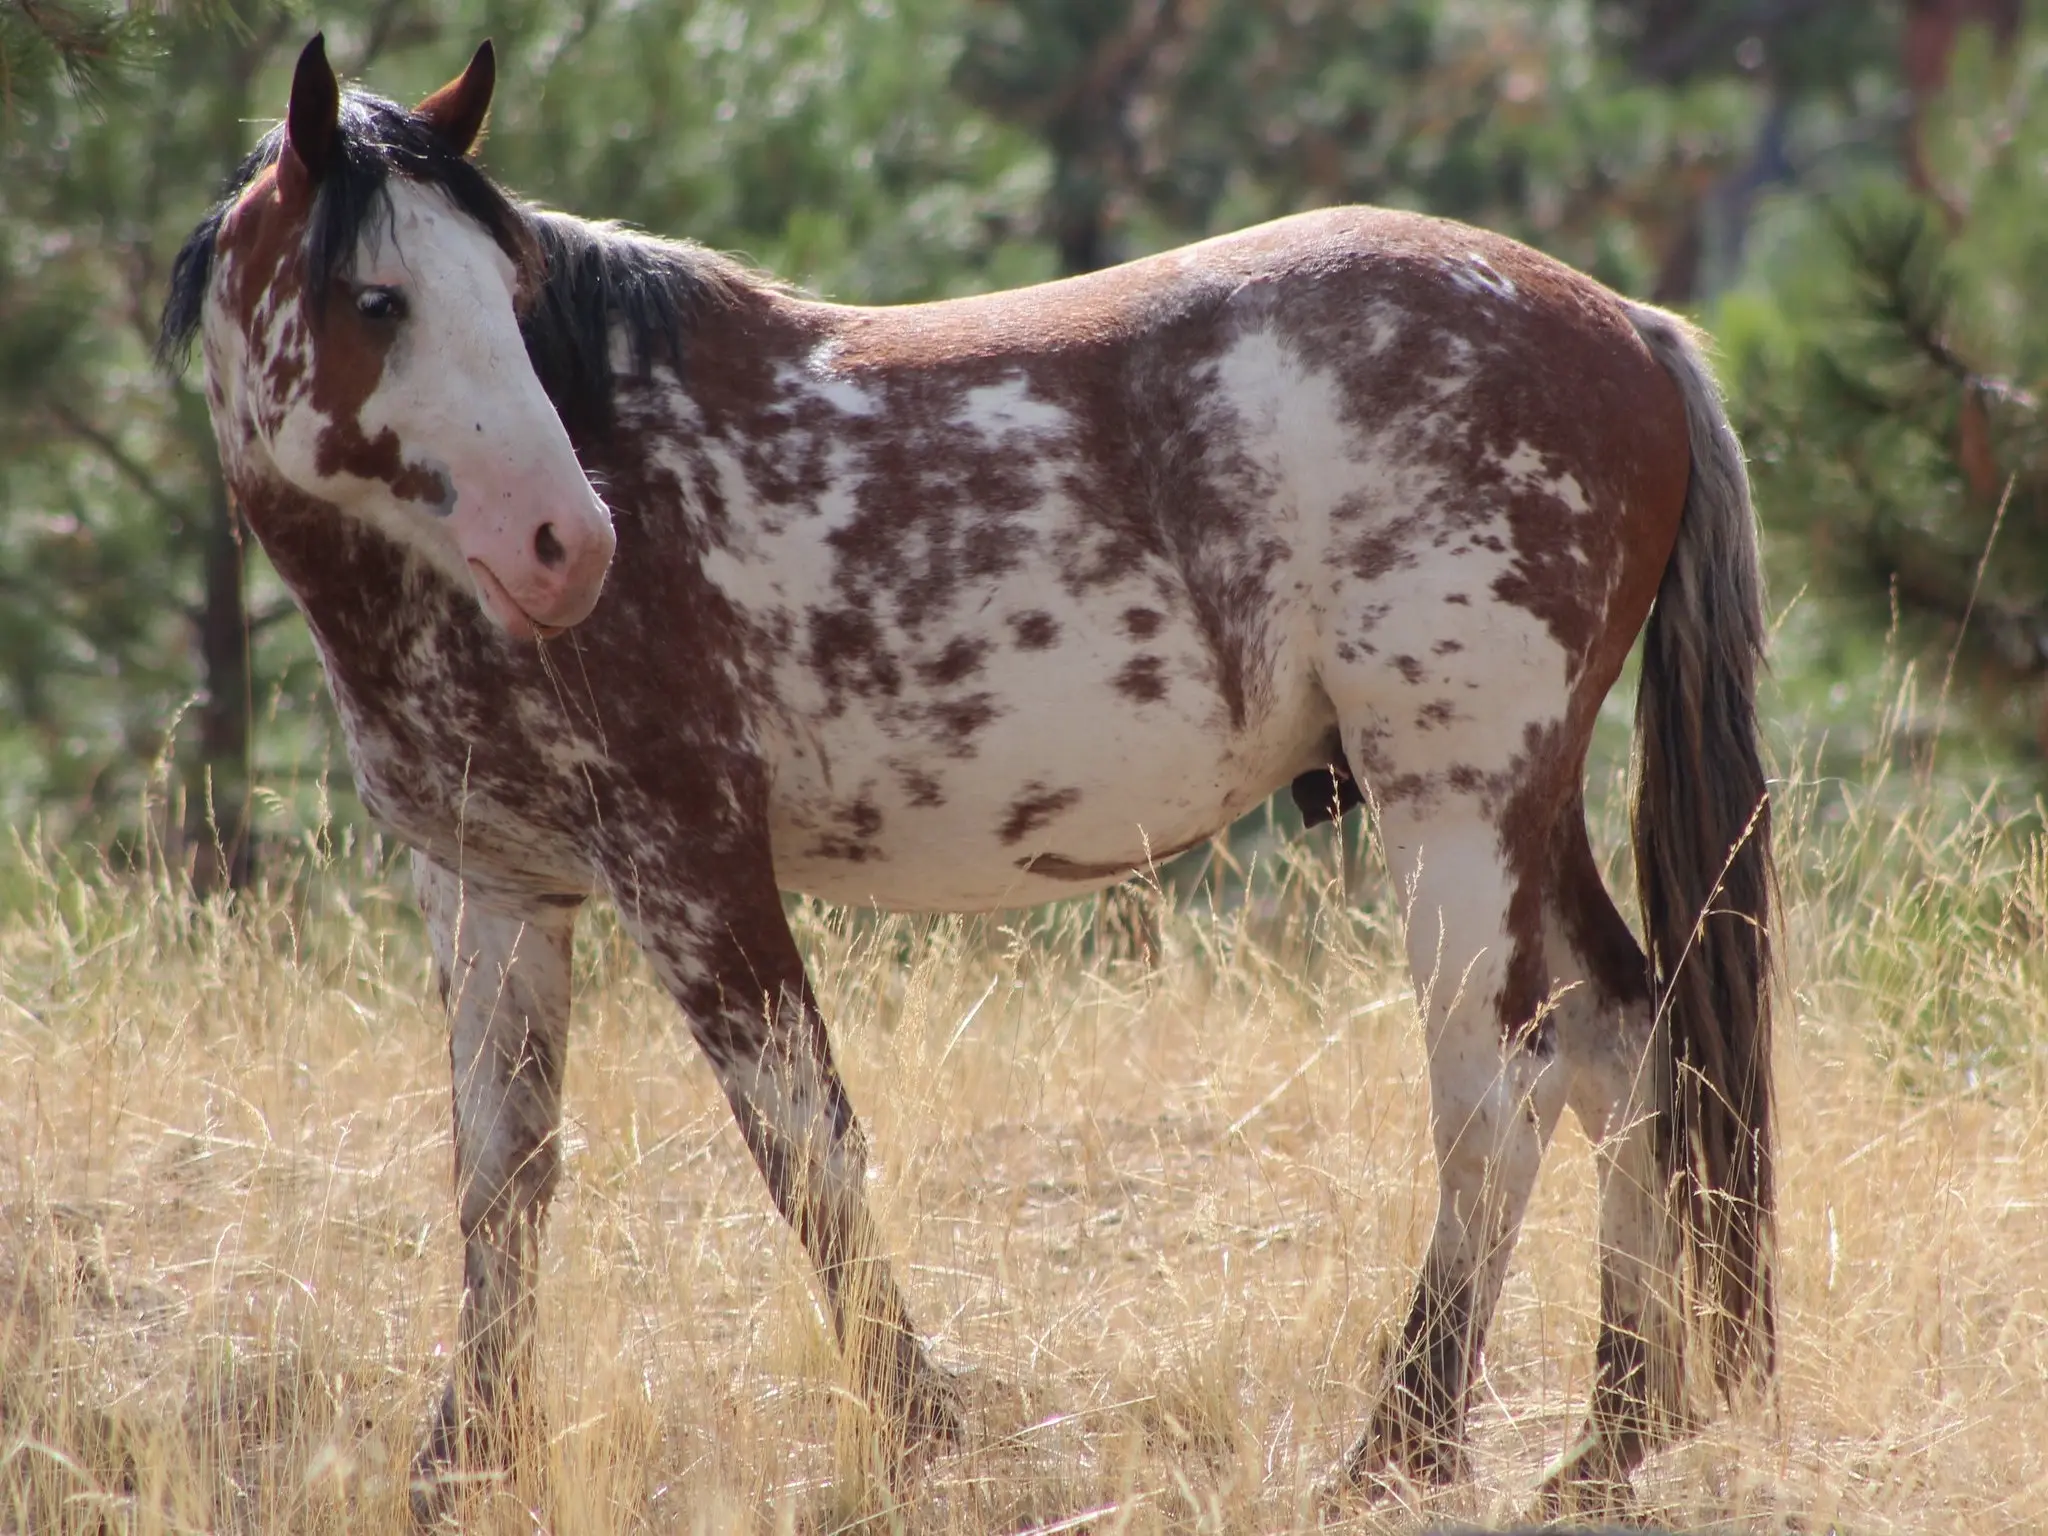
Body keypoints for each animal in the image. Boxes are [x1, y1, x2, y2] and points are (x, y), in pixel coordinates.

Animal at [163, 33, 1777, 1515]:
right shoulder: (494, 886)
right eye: (380, 301)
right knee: (1626, 1045)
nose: (568, 546)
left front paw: (918, 1431)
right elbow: (501, 1178)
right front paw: (460, 1465)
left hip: (1454, 803)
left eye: (507, 295)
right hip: (1517, 813)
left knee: (1502, 1087)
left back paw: (1403, 1447)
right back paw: (1610, 1435)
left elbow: (805, 1149)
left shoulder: (690, 862)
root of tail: (1623, 325)